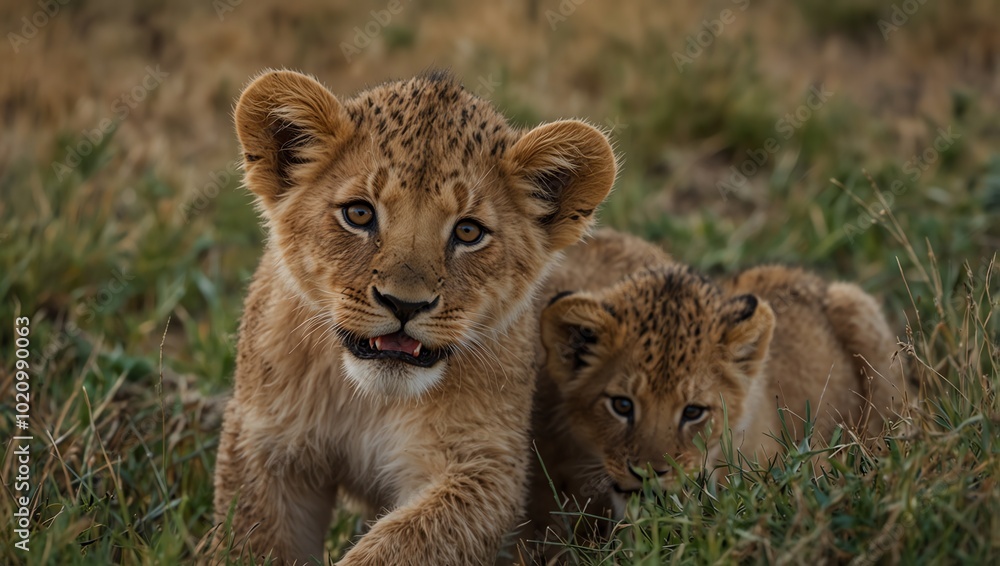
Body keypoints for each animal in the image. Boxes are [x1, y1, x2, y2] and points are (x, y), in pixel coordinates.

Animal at [211, 69, 616, 565]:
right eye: (359, 213)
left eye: (468, 231)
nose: (405, 305)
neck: (371, 400)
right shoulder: (266, 445)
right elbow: (253, 541)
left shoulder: (486, 466)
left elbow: (403, 544)